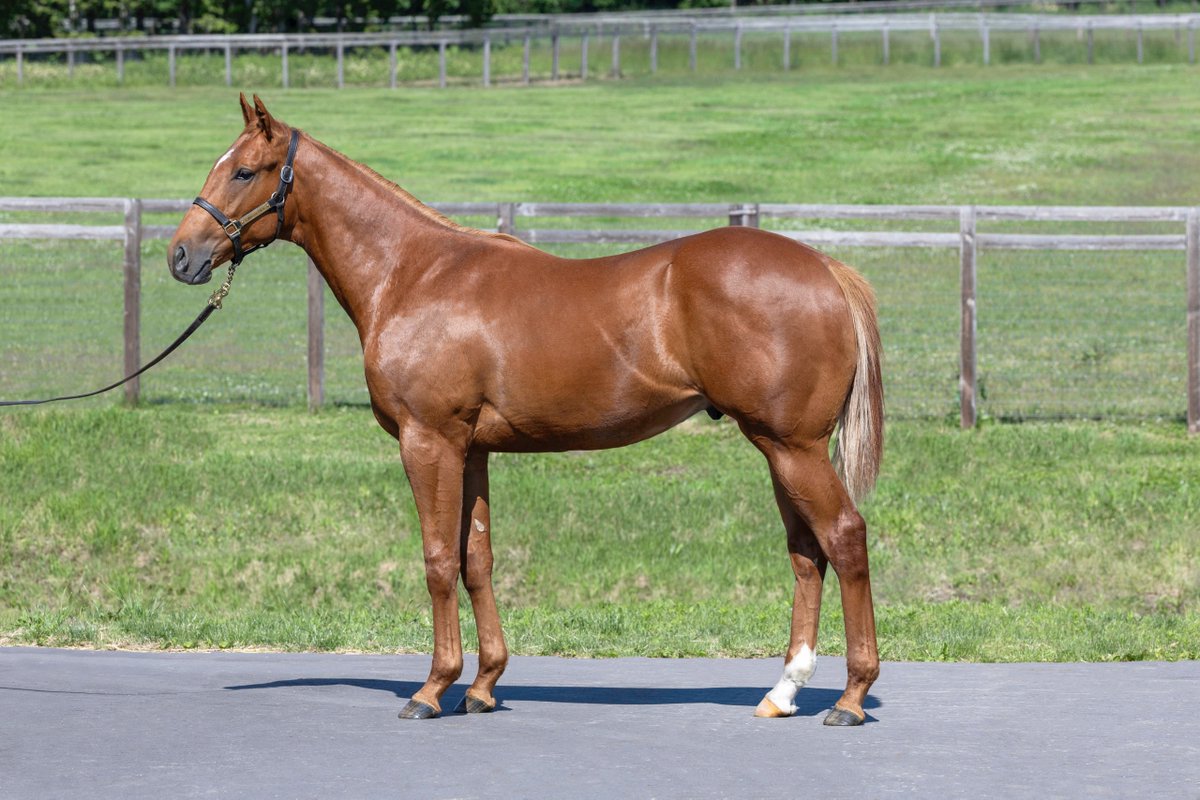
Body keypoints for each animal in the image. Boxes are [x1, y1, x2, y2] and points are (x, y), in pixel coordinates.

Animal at [168, 94, 885, 726]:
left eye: (243, 170)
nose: (181, 255)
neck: (414, 273)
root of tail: (826, 268)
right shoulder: (472, 450)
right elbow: (476, 560)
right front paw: (483, 686)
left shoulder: (428, 442)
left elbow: (437, 559)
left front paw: (432, 688)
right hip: (778, 448)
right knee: (806, 552)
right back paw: (783, 692)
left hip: (791, 446)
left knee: (844, 537)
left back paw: (850, 698)